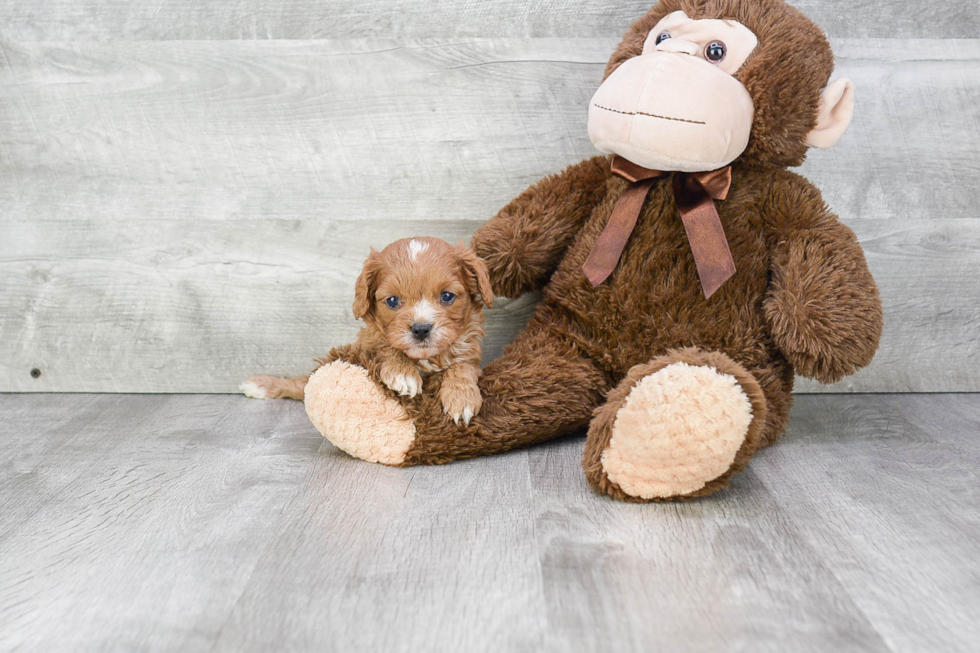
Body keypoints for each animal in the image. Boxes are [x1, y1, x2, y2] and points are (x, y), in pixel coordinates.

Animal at [242, 237, 494, 426]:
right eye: (392, 301)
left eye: (447, 296)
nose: (421, 329)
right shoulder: (366, 344)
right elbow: (384, 346)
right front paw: (402, 373)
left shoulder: (471, 354)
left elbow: (462, 366)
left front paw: (461, 398)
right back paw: (260, 385)